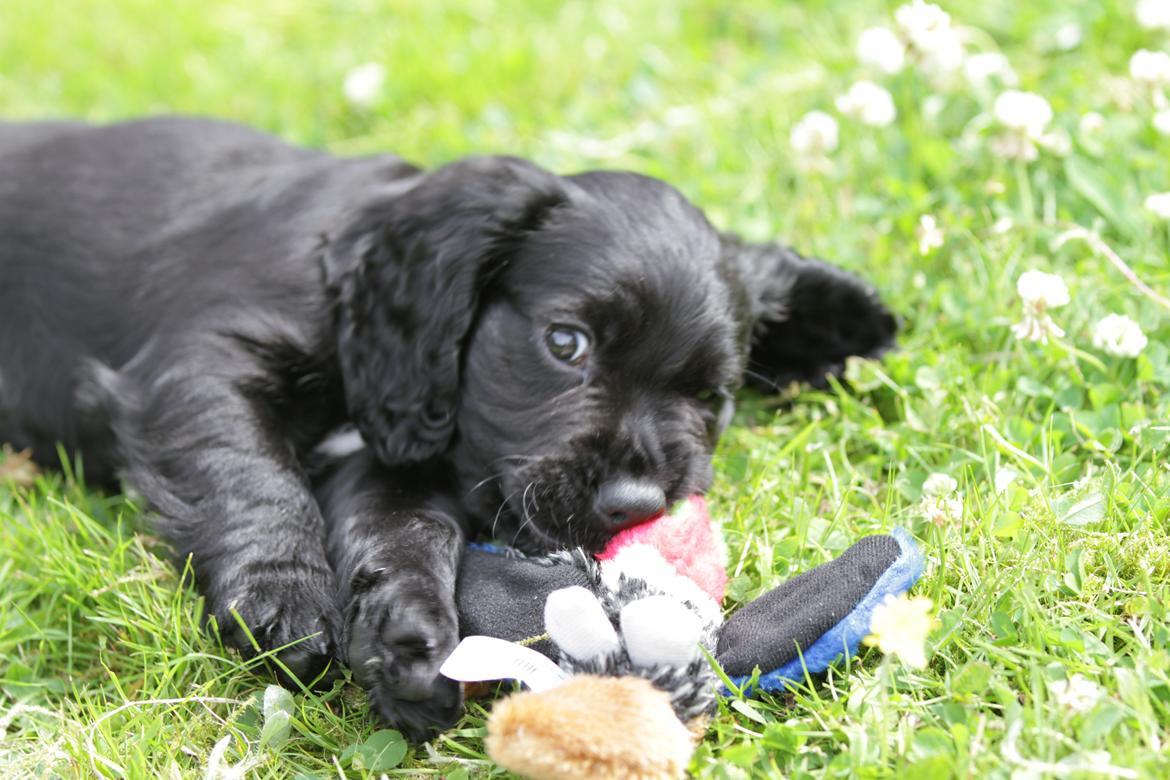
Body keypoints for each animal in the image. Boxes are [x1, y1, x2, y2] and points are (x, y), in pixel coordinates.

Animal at [2, 115, 893, 739]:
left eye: (712, 395)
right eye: (565, 343)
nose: (639, 506)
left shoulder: (383, 460)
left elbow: (403, 530)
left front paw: (411, 639)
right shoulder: (198, 361)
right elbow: (243, 469)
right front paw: (284, 594)